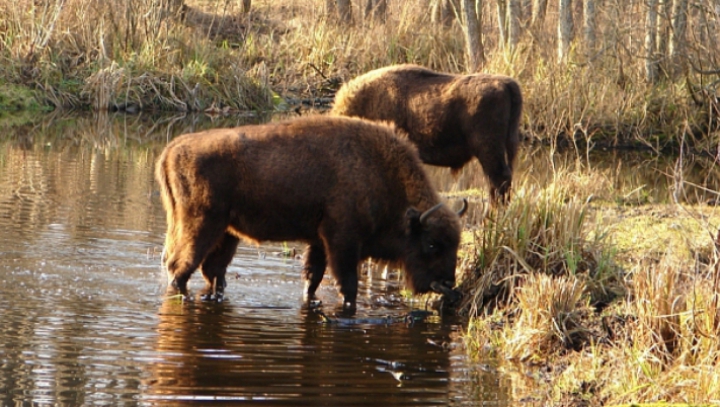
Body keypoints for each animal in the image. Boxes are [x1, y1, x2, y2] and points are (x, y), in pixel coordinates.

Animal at [156, 115, 466, 310]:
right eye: (432, 244)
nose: (448, 283)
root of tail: (171, 149)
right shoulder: (342, 241)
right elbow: (347, 284)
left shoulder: (319, 241)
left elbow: (312, 278)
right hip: (200, 226)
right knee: (179, 267)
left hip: (227, 232)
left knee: (212, 271)